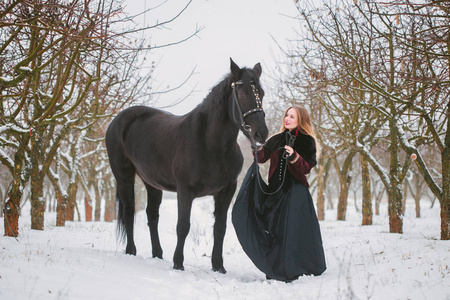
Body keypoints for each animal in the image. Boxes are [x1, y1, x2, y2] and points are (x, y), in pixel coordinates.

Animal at [105, 58, 268, 272]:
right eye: (242, 93)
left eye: (261, 93)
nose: (261, 134)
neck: (210, 144)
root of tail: (119, 119)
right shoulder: (185, 191)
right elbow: (183, 226)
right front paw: (178, 264)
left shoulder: (226, 191)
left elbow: (220, 228)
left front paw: (218, 266)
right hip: (124, 176)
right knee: (129, 211)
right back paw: (131, 251)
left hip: (152, 182)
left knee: (152, 215)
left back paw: (158, 255)